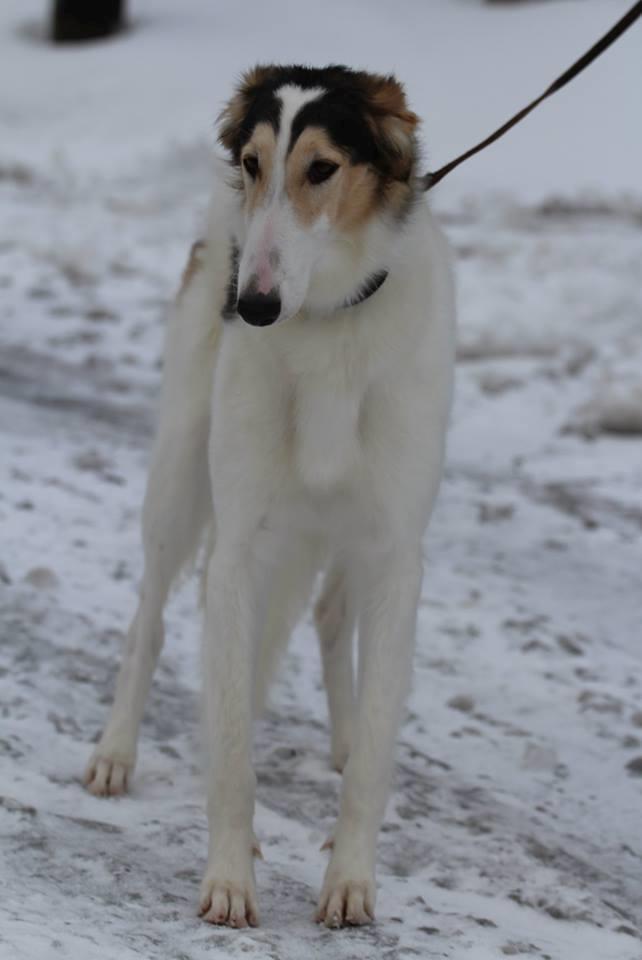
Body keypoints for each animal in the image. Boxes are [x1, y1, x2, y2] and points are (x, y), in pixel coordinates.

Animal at [84, 65, 456, 928]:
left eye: (322, 168)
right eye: (253, 163)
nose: (250, 306)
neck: (327, 324)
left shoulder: (397, 555)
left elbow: (377, 749)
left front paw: (351, 879)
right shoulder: (241, 549)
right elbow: (231, 751)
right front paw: (228, 877)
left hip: (340, 533)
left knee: (327, 617)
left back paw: (340, 739)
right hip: (181, 482)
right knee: (148, 622)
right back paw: (117, 752)